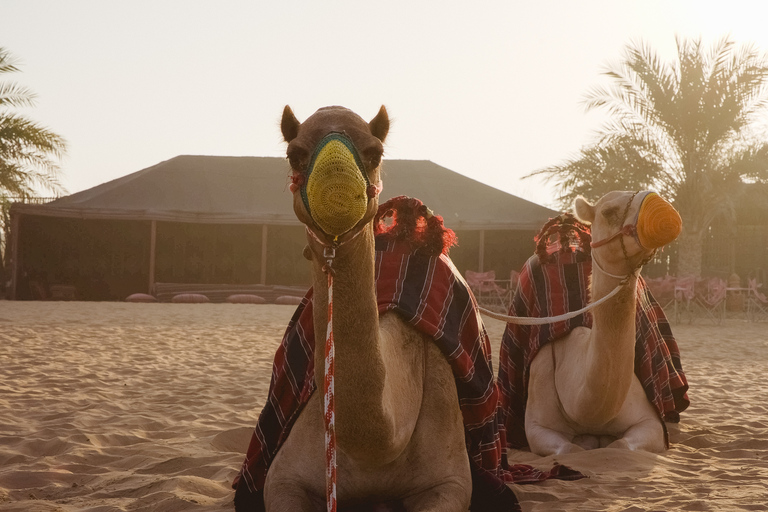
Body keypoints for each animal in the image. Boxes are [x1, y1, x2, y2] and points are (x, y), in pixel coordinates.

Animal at [260, 106, 472, 510]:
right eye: (295, 154)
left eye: (375, 152)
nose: (338, 192)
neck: (380, 446)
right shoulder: (282, 479)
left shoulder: (451, 482)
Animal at [524, 191, 680, 456]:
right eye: (608, 212)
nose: (664, 211)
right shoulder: (536, 426)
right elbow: (569, 449)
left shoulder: (651, 423)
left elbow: (621, 445)